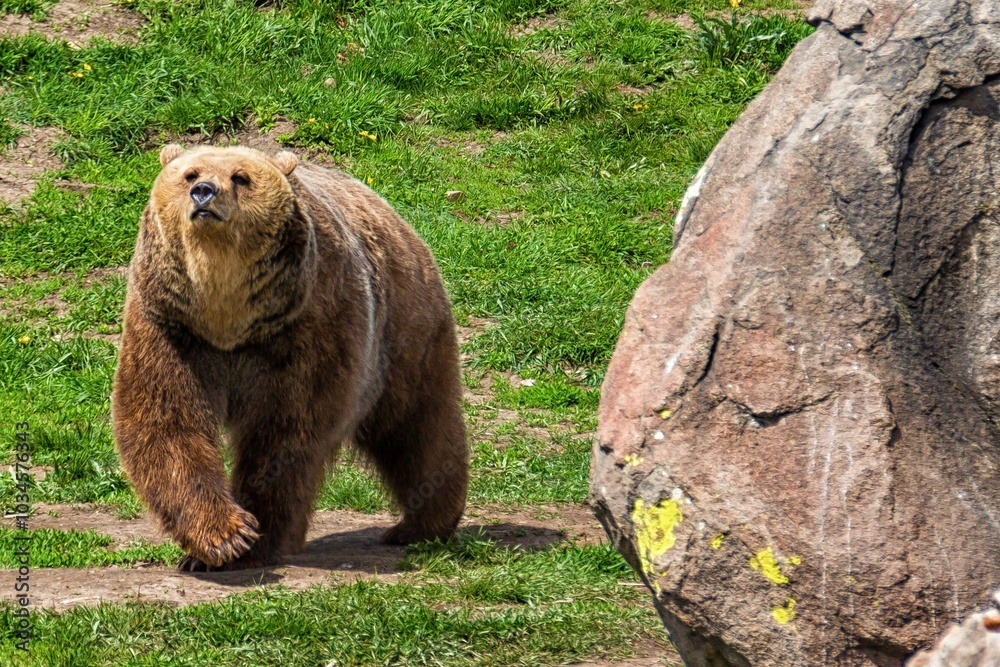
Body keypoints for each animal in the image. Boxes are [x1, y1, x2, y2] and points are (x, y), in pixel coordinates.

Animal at [111, 143, 469, 571]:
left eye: (240, 177)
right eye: (189, 174)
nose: (204, 192)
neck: (226, 314)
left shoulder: (304, 326)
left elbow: (285, 432)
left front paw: (257, 539)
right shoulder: (172, 326)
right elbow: (167, 423)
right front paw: (220, 539)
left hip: (403, 333)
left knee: (417, 426)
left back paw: (421, 524)